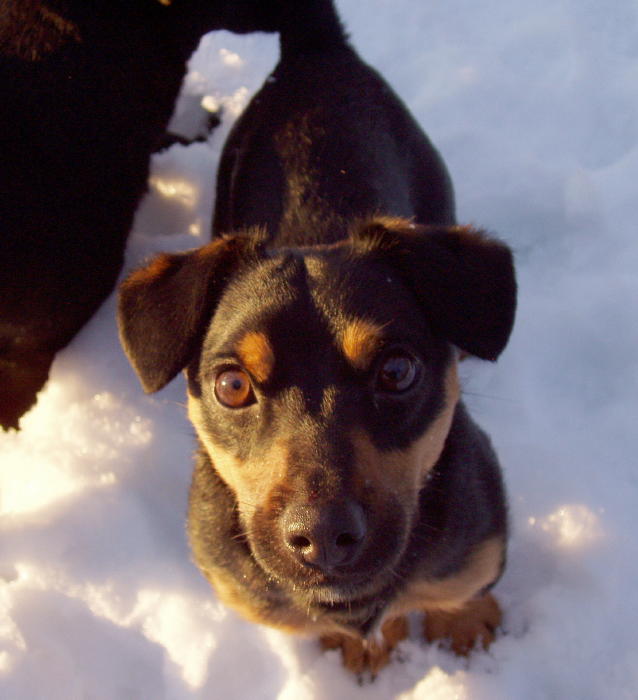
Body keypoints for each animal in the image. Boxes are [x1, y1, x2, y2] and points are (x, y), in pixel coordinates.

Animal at [120, 0, 520, 680]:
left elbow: (462, 585)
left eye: (397, 371)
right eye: (231, 385)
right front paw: (362, 649)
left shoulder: (479, 543)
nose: (324, 535)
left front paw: (463, 630)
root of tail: (317, 46)